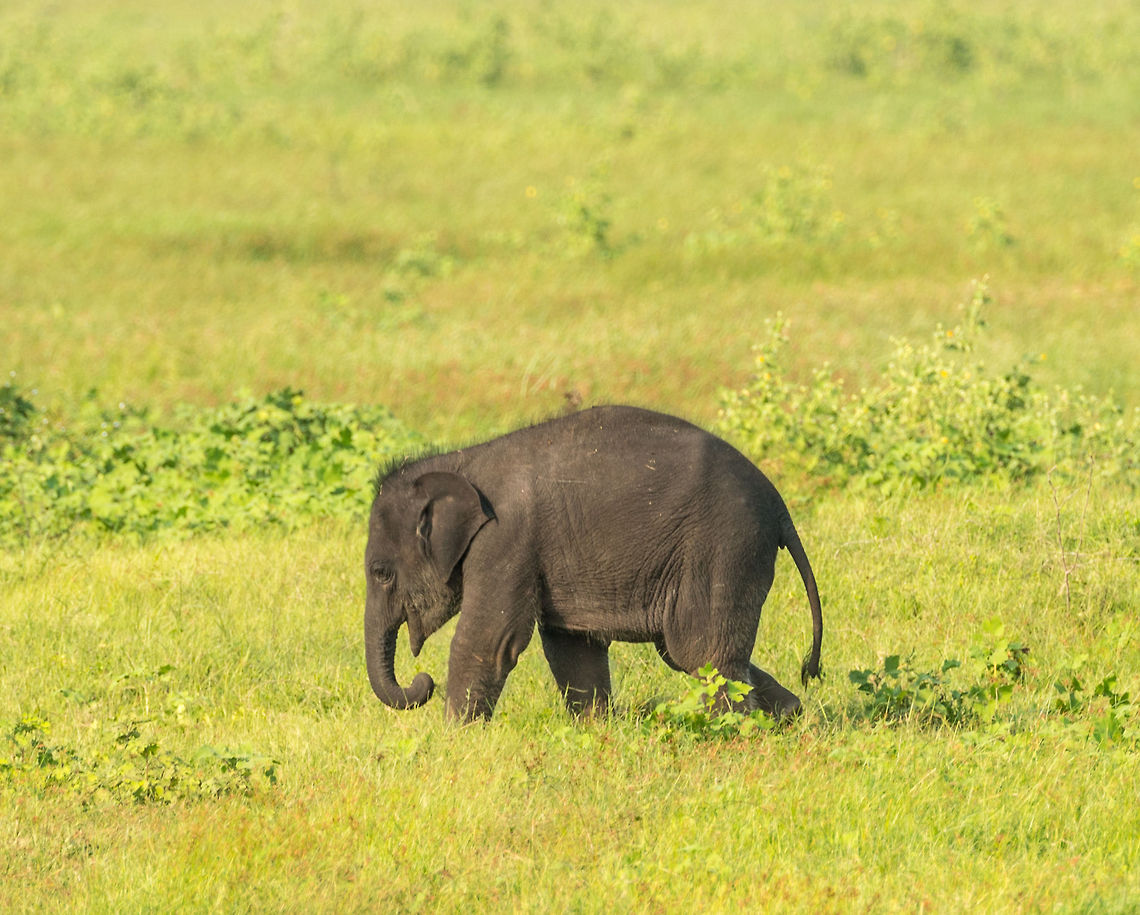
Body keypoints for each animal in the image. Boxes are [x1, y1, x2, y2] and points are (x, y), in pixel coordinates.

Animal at [364, 405, 823, 723]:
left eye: (381, 574)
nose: (422, 682)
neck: (460, 462)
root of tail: (779, 504)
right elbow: (571, 645)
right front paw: (595, 729)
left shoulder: (505, 540)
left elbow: (488, 640)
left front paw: (456, 737)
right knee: (695, 653)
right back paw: (790, 716)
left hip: (722, 547)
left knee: (700, 649)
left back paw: (734, 734)